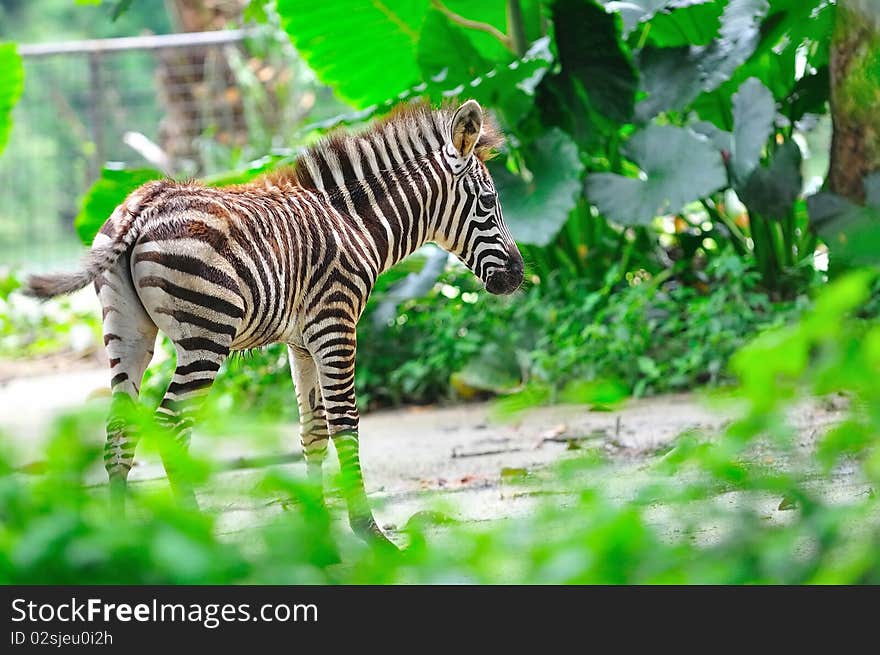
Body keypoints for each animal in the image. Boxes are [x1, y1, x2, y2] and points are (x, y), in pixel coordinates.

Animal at [25, 98, 524, 548]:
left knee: (120, 428)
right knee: (170, 424)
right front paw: (367, 532)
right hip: (206, 336)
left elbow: (313, 429)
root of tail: (144, 203)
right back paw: (195, 535)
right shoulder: (336, 323)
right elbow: (345, 423)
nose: (519, 275)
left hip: (127, 331)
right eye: (489, 200)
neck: (353, 223)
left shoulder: (301, 341)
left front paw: (317, 529)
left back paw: (119, 539)